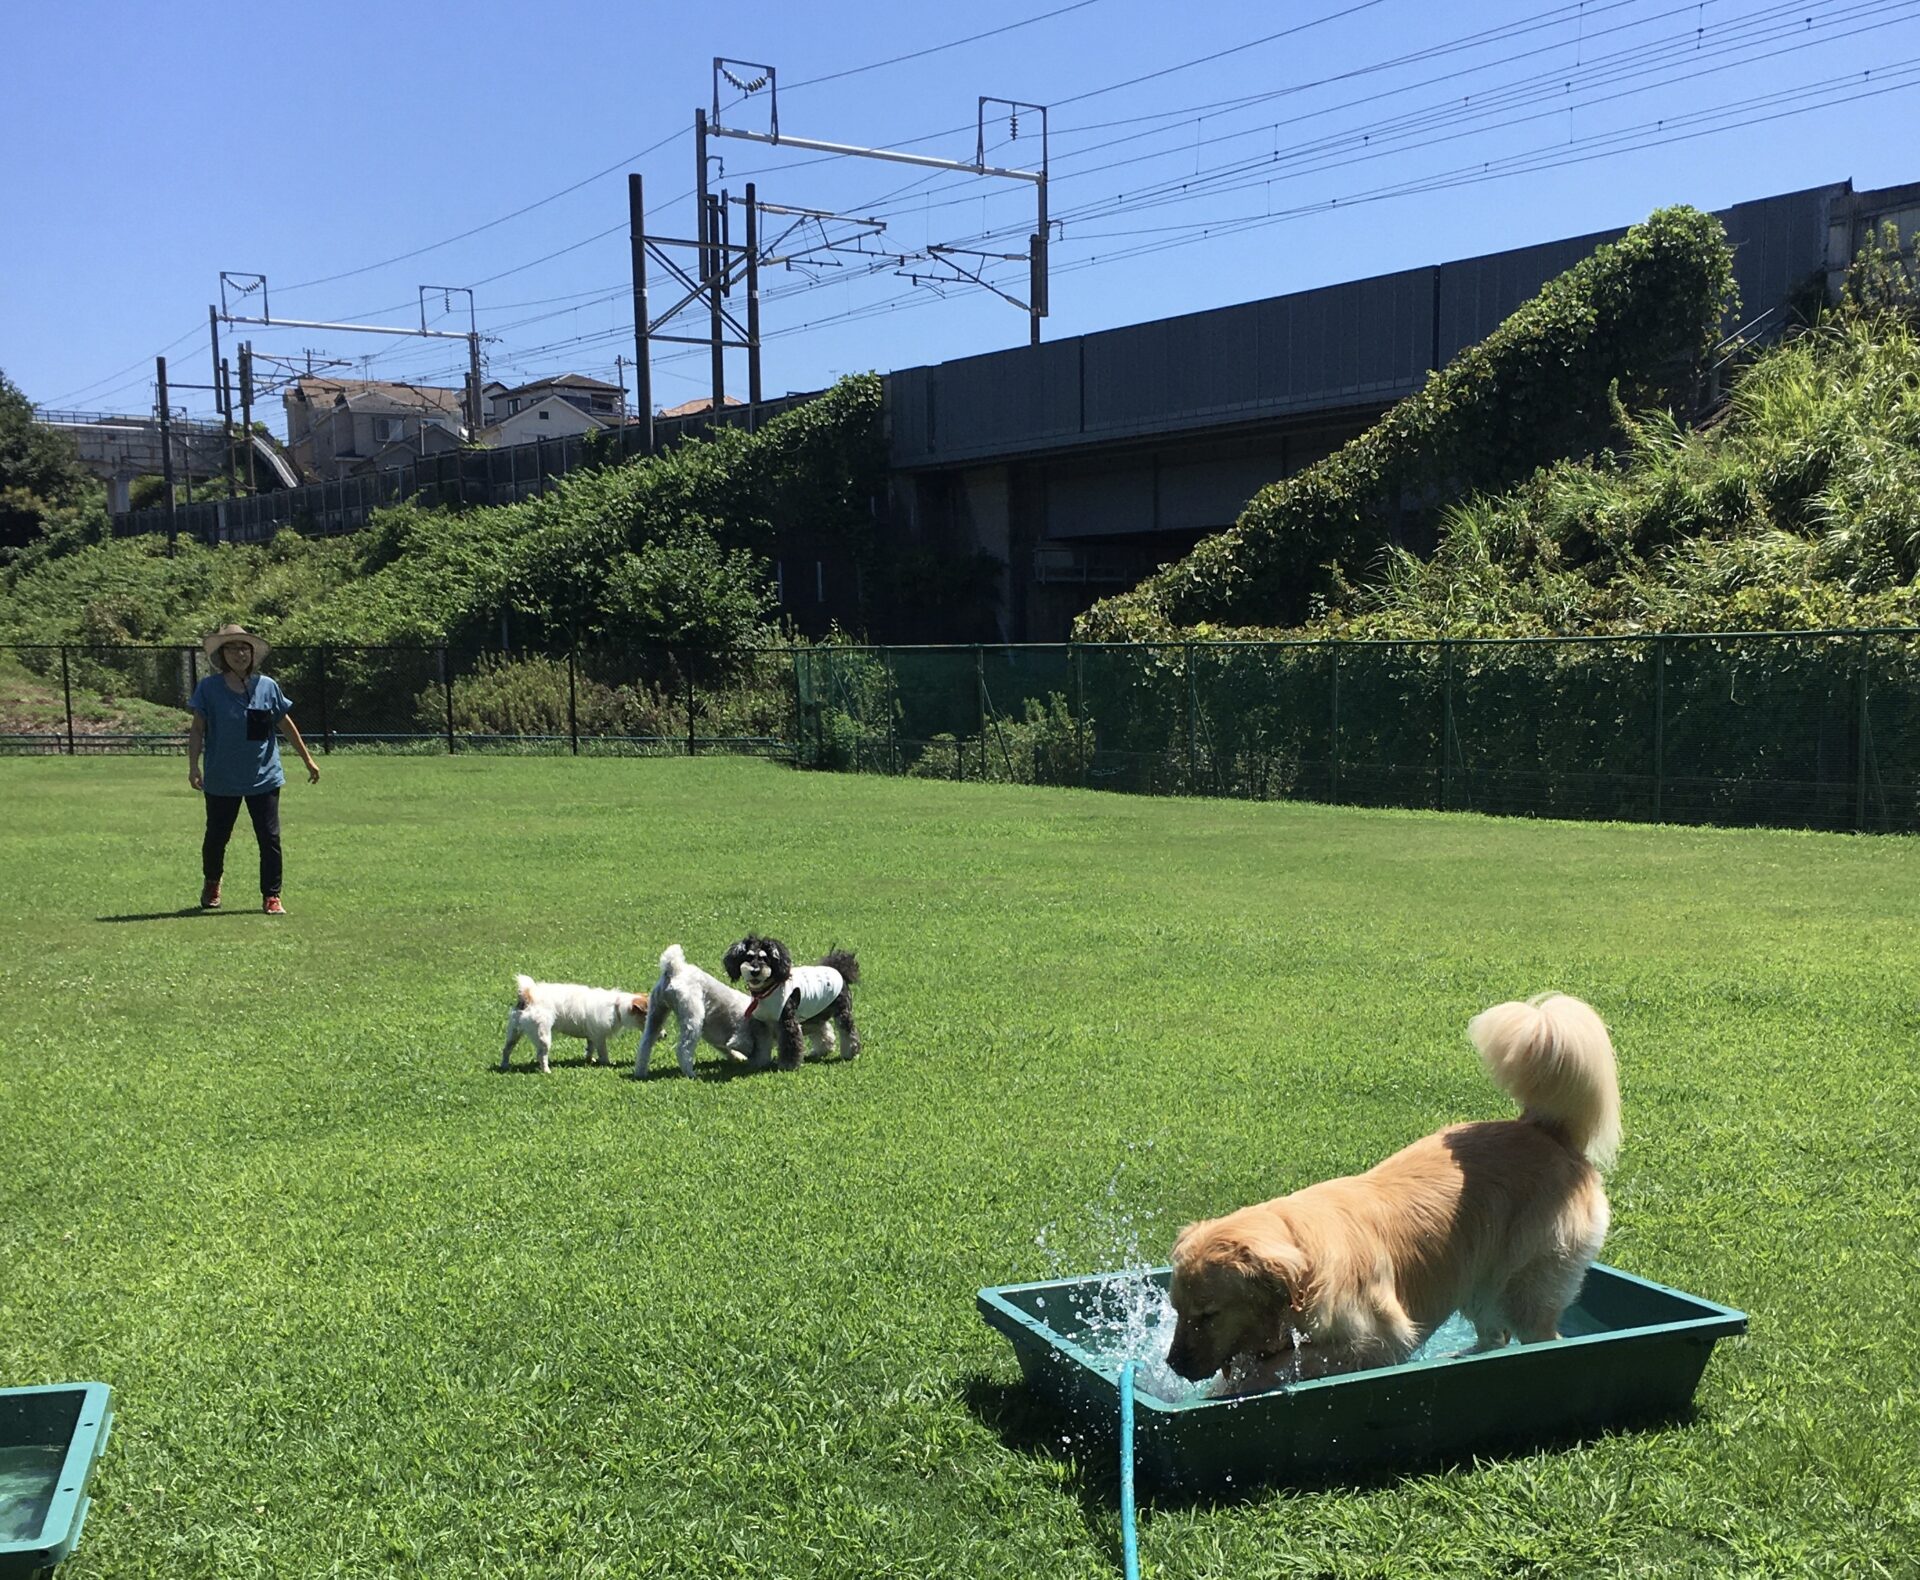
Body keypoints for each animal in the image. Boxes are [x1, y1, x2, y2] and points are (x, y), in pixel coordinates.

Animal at [501, 975, 650, 1074]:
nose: (663, 1034)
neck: (617, 1006)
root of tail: (528, 994)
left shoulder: (592, 1036)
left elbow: (590, 1049)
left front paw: (589, 1060)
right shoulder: (599, 1037)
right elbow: (603, 1052)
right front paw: (607, 1063)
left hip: (513, 1032)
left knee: (506, 1049)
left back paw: (504, 1066)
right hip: (543, 1035)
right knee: (541, 1055)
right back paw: (547, 1071)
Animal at [632, 944, 778, 1079]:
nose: (764, 1066)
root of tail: (674, 969)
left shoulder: (715, 1036)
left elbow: (726, 1047)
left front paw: (738, 1058)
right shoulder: (742, 1032)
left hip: (656, 1012)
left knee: (645, 1044)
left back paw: (640, 1073)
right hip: (692, 1017)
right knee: (683, 1049)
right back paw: (691, 1074)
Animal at [722, 934, 861, 1071]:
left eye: (765, 958)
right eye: (748, 957)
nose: (755, 971)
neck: (767, 990)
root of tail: (838, 969)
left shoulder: (787, 1021)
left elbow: (790, 1044)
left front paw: (788, 1065)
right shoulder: (761, 1024)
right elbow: (761, 1045)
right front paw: (759, 1062)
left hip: (841, 1011)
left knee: (848, 1031)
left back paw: (851, 1052)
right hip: (814, 1013)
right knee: (821, 1028)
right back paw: (822, 1050)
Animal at [1166, 992, 1620, 1397]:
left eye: (1208, 1315)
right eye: (1177, 1310)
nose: (1173, 1364)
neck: (1302, 1263)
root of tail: (1546, 1131)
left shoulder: (1378, 1340)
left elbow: (1283, 1363)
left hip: (1526, 1282)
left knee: (1539, 1337)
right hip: (1477, 1274)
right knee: (1495, 1335)